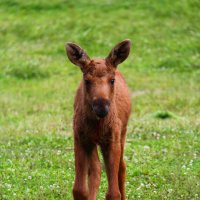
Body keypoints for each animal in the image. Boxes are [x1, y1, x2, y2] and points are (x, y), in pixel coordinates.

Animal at [65, 39, 132, 200]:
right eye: (87, 80)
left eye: (112, 80)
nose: (101, 107)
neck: (97, 125)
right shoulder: (80, 138)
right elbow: (78, 189)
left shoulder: (112, 139)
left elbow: (113, 193)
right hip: (93, 143)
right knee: (96, 169)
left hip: (122, 133)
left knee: (122, 166)